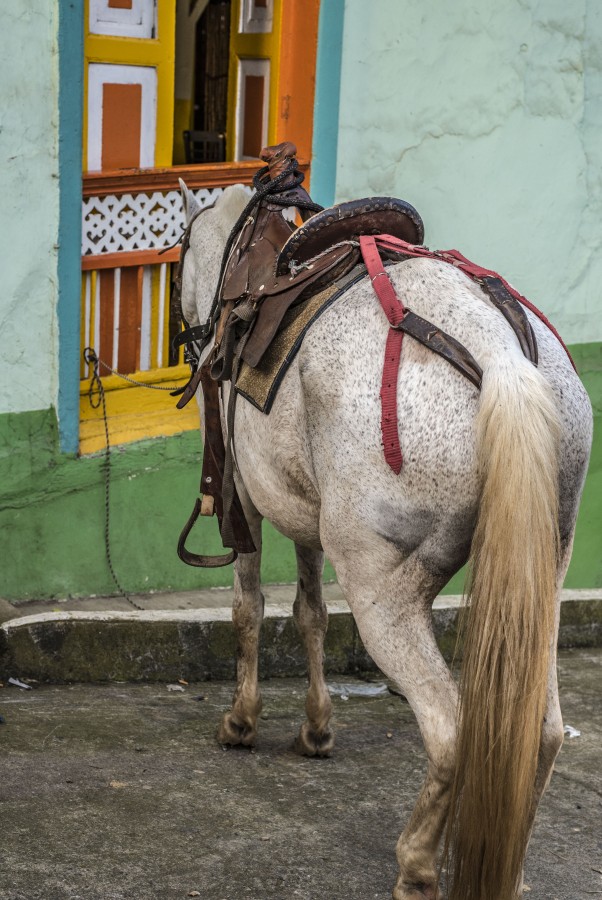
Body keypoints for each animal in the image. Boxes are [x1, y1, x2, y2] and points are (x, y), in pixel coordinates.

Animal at [177, 179, 592, 896]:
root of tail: (501, 355)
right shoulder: (307, 511)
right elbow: (310, 612)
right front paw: (316, 729)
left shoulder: (244, 499)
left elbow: (249, 608)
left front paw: (243, 720)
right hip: (543, 576)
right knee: (542, 731)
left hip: (383, 591)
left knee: (451, 730)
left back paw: (418, 865)